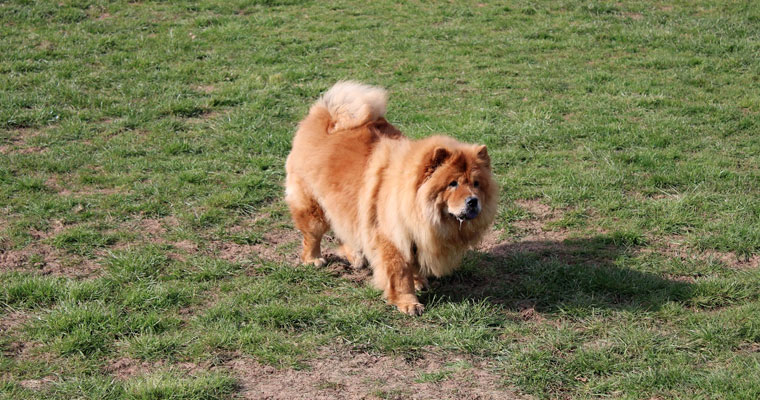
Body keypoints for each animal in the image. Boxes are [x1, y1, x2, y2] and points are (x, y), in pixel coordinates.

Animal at [284, 82, 498, 316]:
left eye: (476, 184)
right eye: (453, 184)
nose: (473, 201)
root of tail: (324, 116)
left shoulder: (415, 236)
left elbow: (414, 265)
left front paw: (419, 282)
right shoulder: (392, 238)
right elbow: (399, 273)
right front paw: (408, 303)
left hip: (344, 207)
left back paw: (355, 257)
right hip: (313, 207)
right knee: (312, 235)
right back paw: (313, 259)